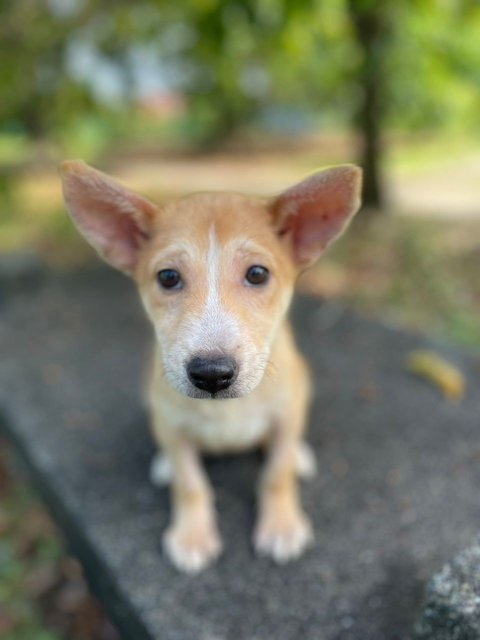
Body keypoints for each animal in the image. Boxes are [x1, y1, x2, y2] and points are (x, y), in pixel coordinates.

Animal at [59, 161, 360, 576]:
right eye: (168, 277)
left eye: (257, 274)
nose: (212, 374)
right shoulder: (172, 427)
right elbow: (190, 484)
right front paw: (192, 536)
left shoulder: (287, 412)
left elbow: (276, 472)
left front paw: (281, 525)